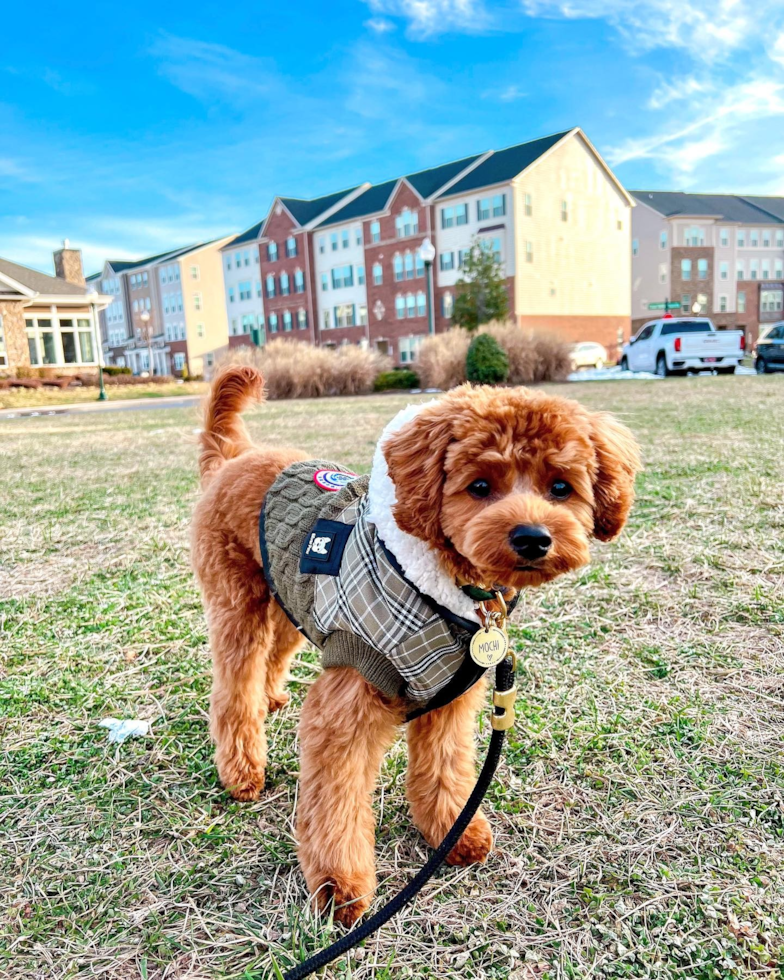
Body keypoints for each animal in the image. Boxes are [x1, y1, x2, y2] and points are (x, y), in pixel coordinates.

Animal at [188, 366, 636, 928]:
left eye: (561, 487)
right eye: (479, 487)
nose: (533, 538)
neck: (444, 589)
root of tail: (234, 456)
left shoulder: (451, 694)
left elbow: (444, 769)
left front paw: (454, 833)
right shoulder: (350, 700)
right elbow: (335, 801)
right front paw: (340, 888)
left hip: (289, 594)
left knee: (275, 652)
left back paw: (270, 699)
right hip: (236, 598)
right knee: (234, 685)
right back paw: (243, 771)